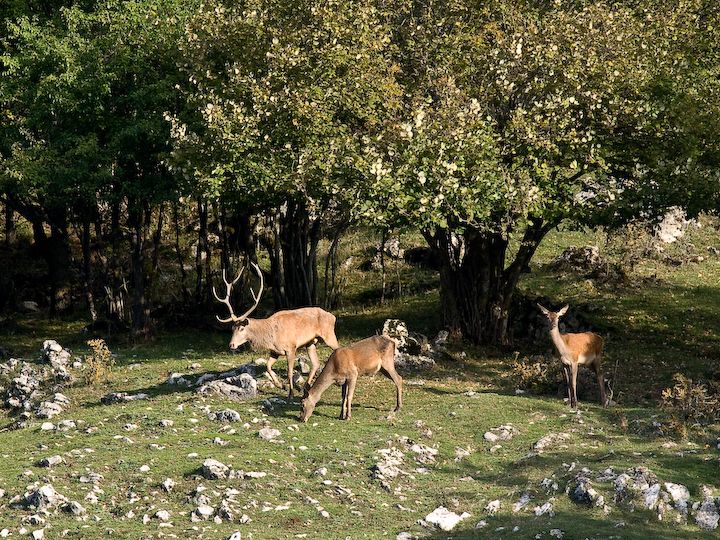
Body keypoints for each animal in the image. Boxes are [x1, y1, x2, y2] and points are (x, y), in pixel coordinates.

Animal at [214, 264, 340, 398]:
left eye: (241, 328)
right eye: (232, 328)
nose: (231, 344)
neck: (271, 337)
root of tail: (333, 316)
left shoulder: (291, 347)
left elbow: (289, 371)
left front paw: (290, 394)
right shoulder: (274, 351)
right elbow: (268, 366)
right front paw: (280, 385)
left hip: (329, 334)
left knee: (337, 349)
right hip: (310, 342)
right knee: (316, 363)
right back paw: (305, 387)